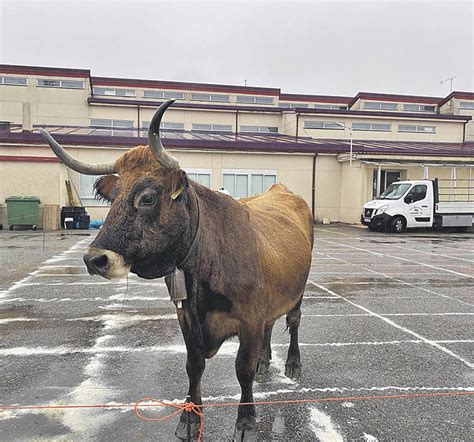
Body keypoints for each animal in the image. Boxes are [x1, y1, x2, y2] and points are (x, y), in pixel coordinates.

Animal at [39, 102, 314, 440]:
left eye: (147, 197)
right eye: (113, 197)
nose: (95, 259)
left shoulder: (249, 320)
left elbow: (243, 369)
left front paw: (246, 422)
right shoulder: (185, 316)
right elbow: (193, 366)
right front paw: (190, 418)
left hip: (298, 291)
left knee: (293, 321)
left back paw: (292, 363)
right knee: (271, 324)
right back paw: (266, 361)